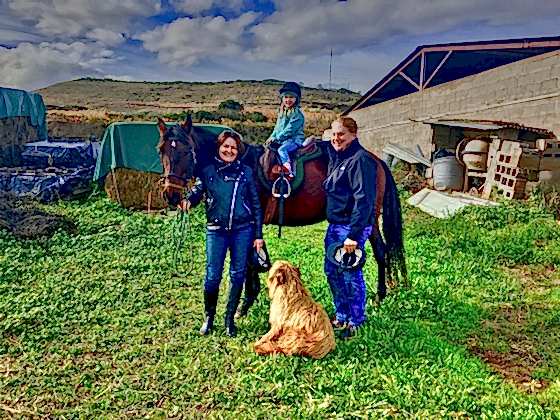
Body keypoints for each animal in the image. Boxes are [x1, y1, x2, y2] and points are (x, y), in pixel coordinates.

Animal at [158, 115, 406, 316]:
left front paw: (243, 305)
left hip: (369, 220)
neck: (238, 165)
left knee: (381, 252)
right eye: (161, 150)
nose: (170, 194)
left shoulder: (250, 224)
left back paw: (380, 295)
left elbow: (249, 264)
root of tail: (377, 161)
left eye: (186, 151)